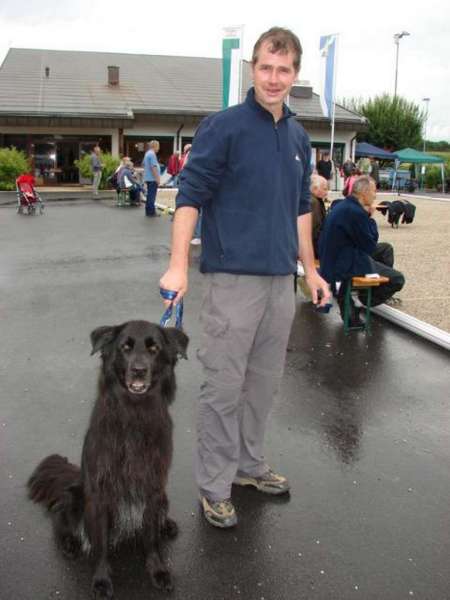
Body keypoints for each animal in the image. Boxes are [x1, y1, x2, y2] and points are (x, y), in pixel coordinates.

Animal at [27, 322, 190, 600]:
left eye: (154, 348)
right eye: (125, 347)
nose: (138, 370)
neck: (135, 411)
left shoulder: (153, 488)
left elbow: (151, 538)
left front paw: (157, 570)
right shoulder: (100, 493)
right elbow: (100, 543)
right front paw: (102, 579)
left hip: (163, 496)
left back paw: (166, 524)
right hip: (76, 495)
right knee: (61, 516)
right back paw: (69, 543)